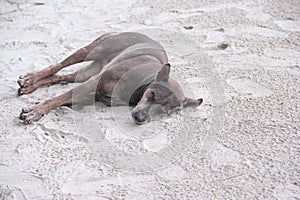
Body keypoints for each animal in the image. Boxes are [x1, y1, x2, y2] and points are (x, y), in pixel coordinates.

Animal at [17, 31, 204, 124]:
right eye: (152, 95)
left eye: (165, 113)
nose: (140, 118)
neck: (138, 90)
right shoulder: (92, 84)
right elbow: (56, 99)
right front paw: (34, 111)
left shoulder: (90, 93)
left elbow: (62, 99)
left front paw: (36, 110)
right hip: (94, 50)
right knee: (58, 66)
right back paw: (30, 78)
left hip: (88, 72)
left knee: (62, 76)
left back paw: (29, 85)